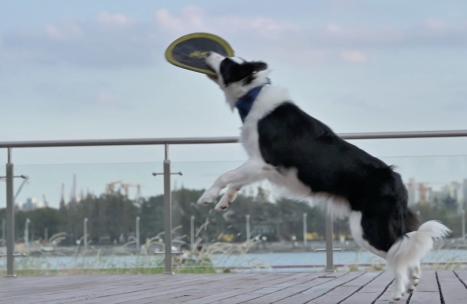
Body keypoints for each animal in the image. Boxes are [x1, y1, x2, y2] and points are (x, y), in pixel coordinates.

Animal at [198, 51, 454, 300]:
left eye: (226, 62)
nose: (207, 52)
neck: (253, 94)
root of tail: (397, 180)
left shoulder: (263, 162)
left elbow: (225, 176)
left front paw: (207, 197)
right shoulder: (258, 166)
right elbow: (235, 182)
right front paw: (224, 202)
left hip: (368, 228)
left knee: (397, 253)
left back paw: (398, 292)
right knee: (409, 251)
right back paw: (412, 283)